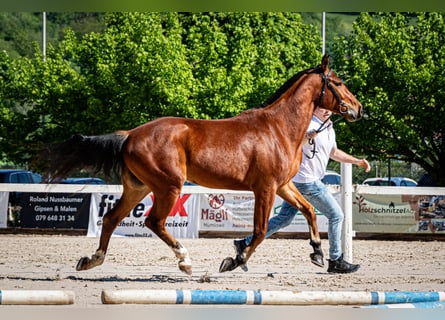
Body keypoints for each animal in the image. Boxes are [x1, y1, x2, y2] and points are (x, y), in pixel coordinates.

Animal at [39, 55, 360, 276]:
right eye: (339, 83)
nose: (358, 109)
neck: (278, 128)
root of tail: (130, 134)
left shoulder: (283, 185)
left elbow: (308, 211)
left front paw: (318, 253)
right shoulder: (265, 188)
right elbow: (259, 230)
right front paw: (235, 260)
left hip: (138, 188)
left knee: (110, 219)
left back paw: (92, 260)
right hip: (169, 187)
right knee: (153, 222)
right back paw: (185, 261)